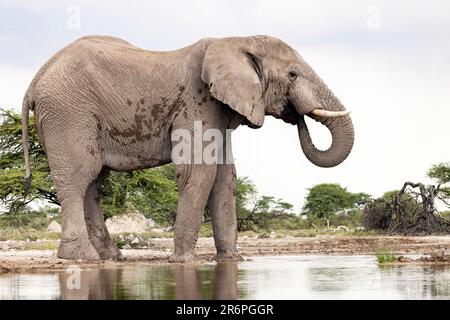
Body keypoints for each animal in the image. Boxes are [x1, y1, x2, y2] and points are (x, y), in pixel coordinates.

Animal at [22, 34, 356, 262]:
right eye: (292, 75)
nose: (296, 115)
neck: (236, 41)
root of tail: (35, 80)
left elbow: (225, 179)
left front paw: (233, 260)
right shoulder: (198, 103)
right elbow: (200, 173)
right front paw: (183, 261)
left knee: (93, 183)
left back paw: (110, 257)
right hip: (67, 113)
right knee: (79, 179)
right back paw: (80, 257)